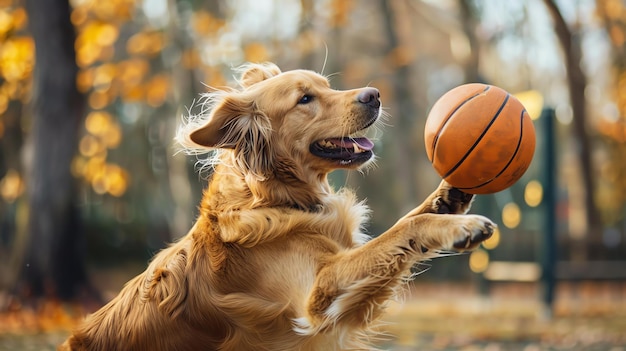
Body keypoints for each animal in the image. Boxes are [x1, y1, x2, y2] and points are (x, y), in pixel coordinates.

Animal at [61, 63, 494, 351]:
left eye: (326, 86)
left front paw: (449, 196)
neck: (279, 198)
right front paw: (461, 226)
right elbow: (404, 230)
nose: (374, 95)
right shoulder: (317, 300)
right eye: (304, 99)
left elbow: (405, 222)